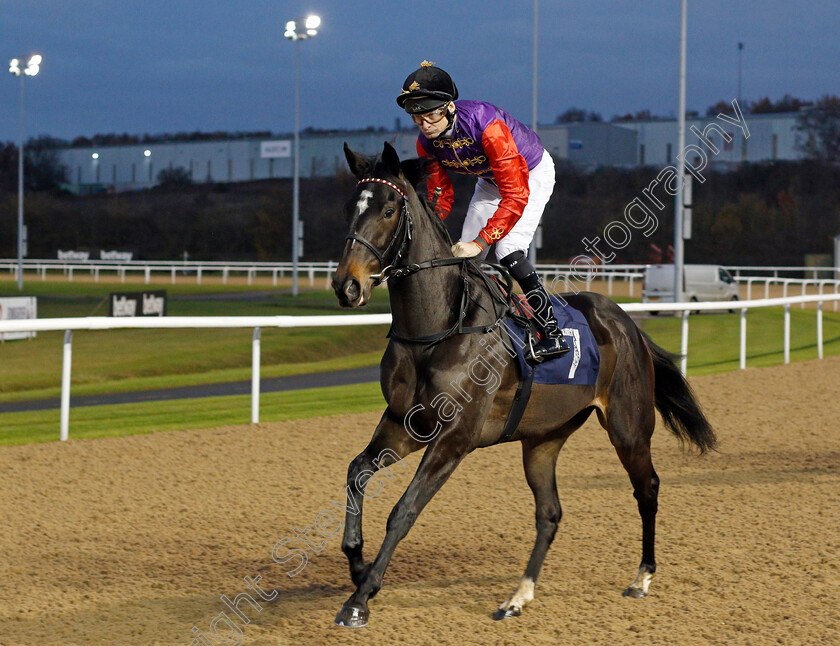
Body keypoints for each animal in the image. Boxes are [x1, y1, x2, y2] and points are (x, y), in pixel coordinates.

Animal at [328, 140, 716, 628]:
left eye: (388, 209)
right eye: (350, 208)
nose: (347, 286)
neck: (437, 328)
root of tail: (626, 322)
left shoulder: (455, 438)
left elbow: (404, 511)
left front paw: (360, 598)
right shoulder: (404, 424)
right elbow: (355, 473)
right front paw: (357, 564)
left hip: (628, 427)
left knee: (647, 488)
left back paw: (642, 576)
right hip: (543, 439)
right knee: (549, 513)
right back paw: (518, 596)